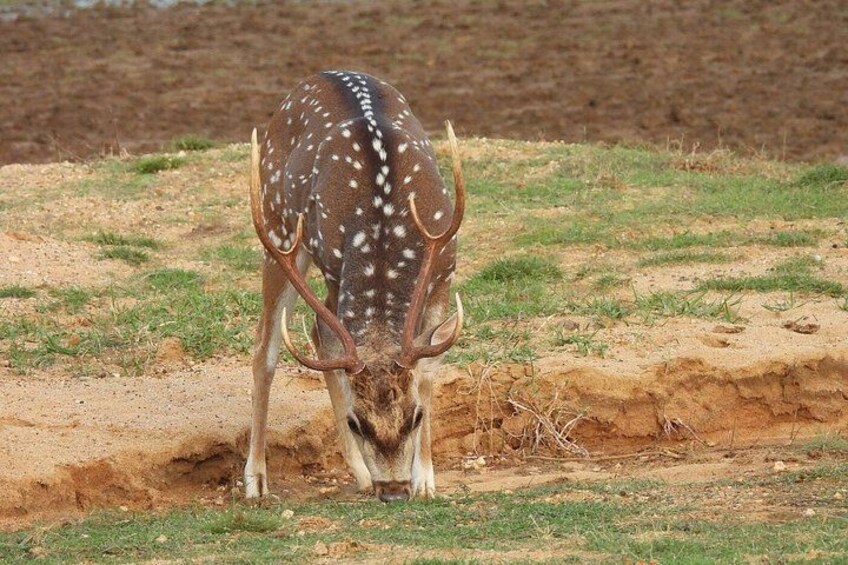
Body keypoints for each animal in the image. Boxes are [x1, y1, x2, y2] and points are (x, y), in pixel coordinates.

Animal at [245, 71, 465, 502]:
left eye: (416, 416)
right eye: (356, 421)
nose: (394, 490)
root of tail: (321, 75)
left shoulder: (444, 268)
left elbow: (429, 368)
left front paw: (426, 480)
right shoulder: (335, 267)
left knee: (315, 336)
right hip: (279, 232)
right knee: (268, 346)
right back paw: (257, 480)